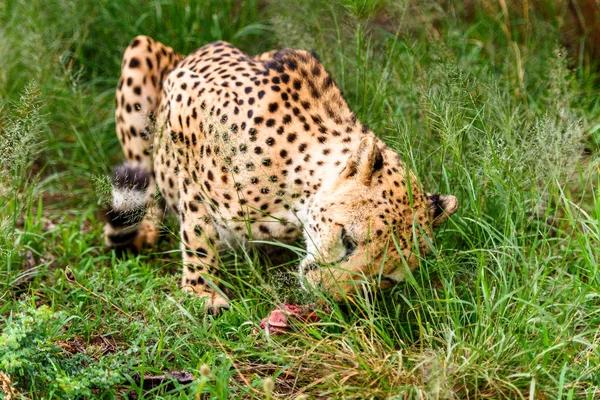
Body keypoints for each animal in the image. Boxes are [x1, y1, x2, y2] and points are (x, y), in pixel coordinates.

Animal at [104, 35, 460, 310]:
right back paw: (146, 227)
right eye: (347, 239)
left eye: (384, 277)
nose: (327, 292)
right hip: (140, 52)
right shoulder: (183, 106)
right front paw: (202, 290)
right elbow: (197, 230)